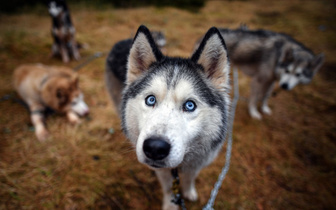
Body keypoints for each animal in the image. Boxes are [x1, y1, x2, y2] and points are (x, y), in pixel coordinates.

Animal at [106, 25, 230, 209]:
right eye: (150, 100)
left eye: (190, 105)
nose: (155, 148)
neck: (178, 168)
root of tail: (123, 41)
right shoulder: (162, 172)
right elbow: (167, 189)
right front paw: (171, 204)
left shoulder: (197, 163)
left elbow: (190, 179)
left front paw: (189, 192)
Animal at [196, 27, 324, 120]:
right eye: (287, 70)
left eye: (298, 74)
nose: (284, 86)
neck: (277, 56)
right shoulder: (258, 80)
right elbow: (254, 99)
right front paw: (254, 113)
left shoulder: (271, 81)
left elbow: (265, 96)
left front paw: (264, 108)